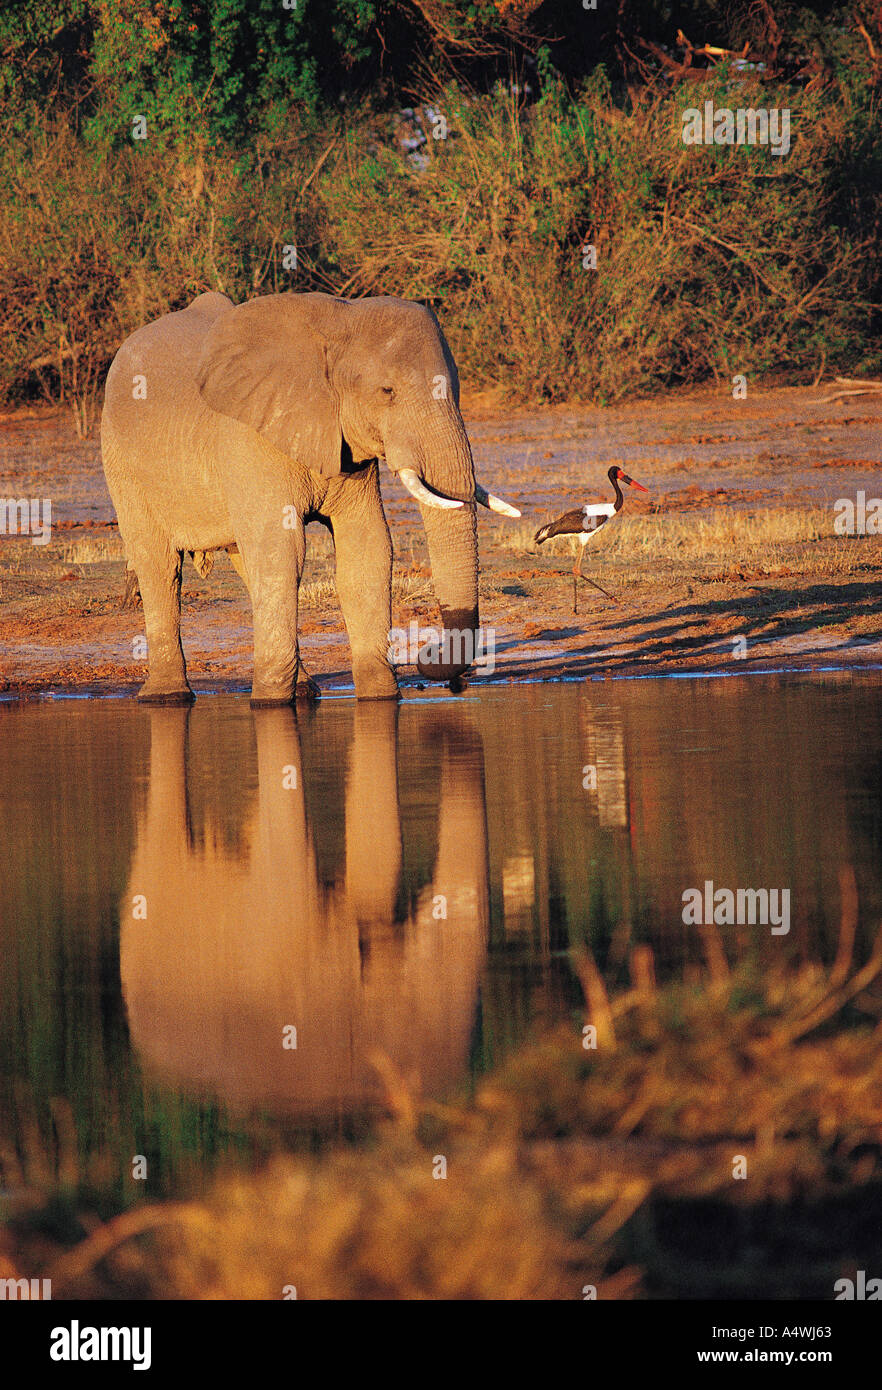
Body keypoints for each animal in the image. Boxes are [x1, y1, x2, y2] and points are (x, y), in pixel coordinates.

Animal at [100, 291, 522, 706]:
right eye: (387, 392)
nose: (426, 654)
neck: (339, 321)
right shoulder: (250, 438)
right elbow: (282, 549)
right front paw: (269, 702)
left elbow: (367, 546)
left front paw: (381, 698)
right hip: (120, 461)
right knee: (159, 565)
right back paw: (166, 697)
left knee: (247, 565)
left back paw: (304, 691)